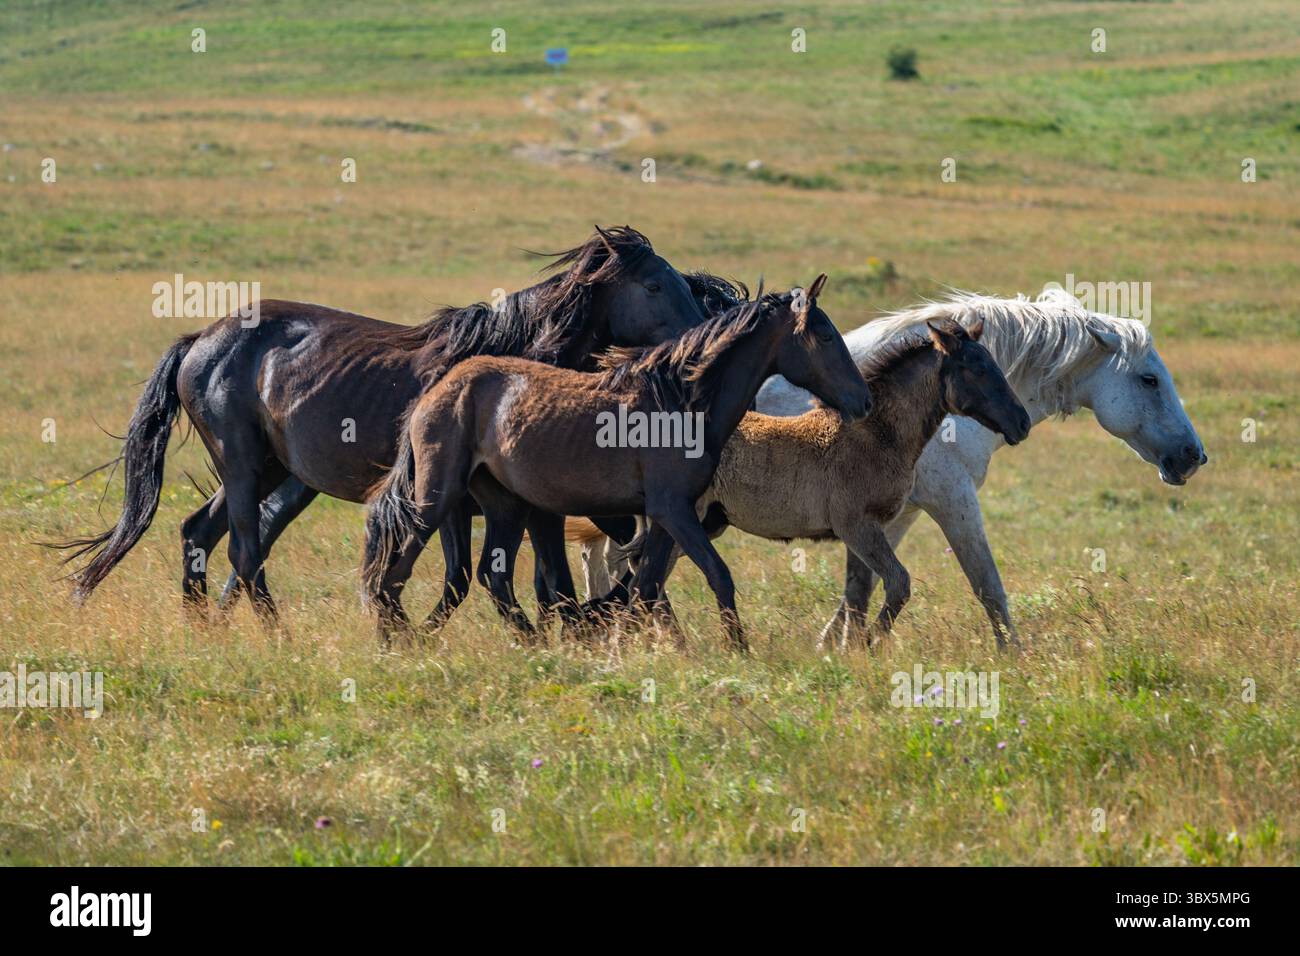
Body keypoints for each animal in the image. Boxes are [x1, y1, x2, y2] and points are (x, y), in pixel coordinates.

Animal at [54, 226, 714, 622]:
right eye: (653, 284)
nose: (701, 339)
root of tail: (199, 340)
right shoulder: (472, 505)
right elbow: (488, 578)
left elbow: (511, 579)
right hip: (242, 465)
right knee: (244, 547)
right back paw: (272, 632)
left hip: (271, 472)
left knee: (200, 533)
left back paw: (204, 629)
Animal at [361, 276, 873, 651]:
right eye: (825, 334)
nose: (863, 401)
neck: (680, 400)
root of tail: (439, 389)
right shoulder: (672, 510)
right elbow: (713, 576)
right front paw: (737, 649)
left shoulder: (668, 515)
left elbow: (644, 590)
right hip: (437, 496)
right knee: (397, 570)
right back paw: (397, 639)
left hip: (504, 505)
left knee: (493, 576)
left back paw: (533, 645)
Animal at [569, 318, 1031, 642]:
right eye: (976, 367)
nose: (1021, 422)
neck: (875, 434)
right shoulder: (856, 525)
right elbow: (898, 583)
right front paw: (874, 642)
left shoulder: (866, 530)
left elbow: (859, 590)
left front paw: (852, 648)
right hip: (686, 519)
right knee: (642, 573)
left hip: (698, 523)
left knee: (645, 573)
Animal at [756, 288, 1208, 647]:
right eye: (1149, 380)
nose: (1194, 455)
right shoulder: (952, 501)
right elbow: (987, 585)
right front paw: (1014, 656)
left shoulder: (893, 515)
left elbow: (859, 590)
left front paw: (836, 650)